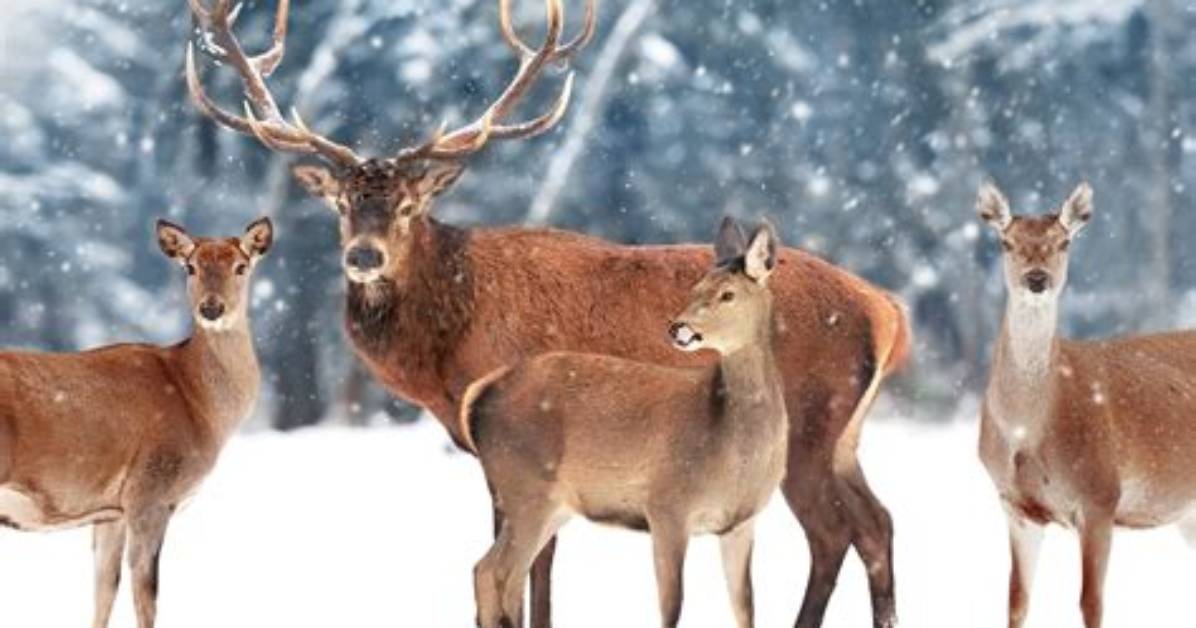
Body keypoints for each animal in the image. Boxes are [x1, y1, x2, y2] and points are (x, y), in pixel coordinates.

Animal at [0, 217, 273, 628]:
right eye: (190, 267)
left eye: (241, 266)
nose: (211, 308)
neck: (199, 404)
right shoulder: (151, 492)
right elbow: (146, 595)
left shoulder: (110, 510)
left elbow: (104, 591)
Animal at [463, 218, 788, 628]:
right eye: (695, 287)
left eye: (728, 294)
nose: (678, 328)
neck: (732, 450)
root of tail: (477, 393)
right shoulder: (666, 504)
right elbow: (672, 605)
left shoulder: (741, 523)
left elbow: (745, 608)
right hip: (525, 486)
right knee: (498, 573)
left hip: (551, 503)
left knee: (490, 572)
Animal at [977, 181, 1196, 628]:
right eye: (1006, 242)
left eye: (1063, 242)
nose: (1037, 279)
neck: (1028, 431)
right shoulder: (1014, 503)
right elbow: (1016, 601)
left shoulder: (1100, 495)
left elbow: (1091, 603)